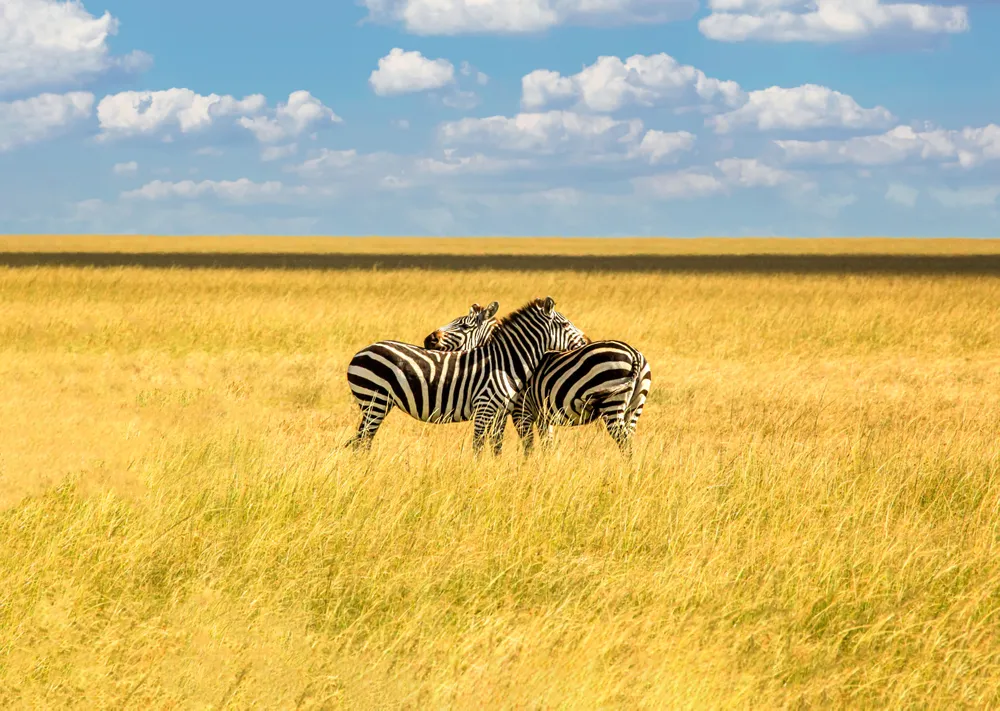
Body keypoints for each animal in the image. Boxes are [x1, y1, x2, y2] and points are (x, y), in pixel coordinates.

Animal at [345, 297, 588, 454]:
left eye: (462, 324)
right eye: (565, 324)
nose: (587, 341)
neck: (506, 361)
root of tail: (361, 352)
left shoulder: (501, 413)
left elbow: (497, 447)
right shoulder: (486, 408)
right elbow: (478, 447)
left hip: (377, 403)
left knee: (361, 441)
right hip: (374, 401)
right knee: (362, 442)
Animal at [424, 309, 650, 455]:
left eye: (462, 325)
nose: (428, 340)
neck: (507, 358)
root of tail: (634, 354)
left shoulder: (520, 410)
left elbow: (527, 446)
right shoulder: (542, 415)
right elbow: (547, 446)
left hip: (613, 404)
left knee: (624, 442)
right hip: (634, 407)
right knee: (630, 438)